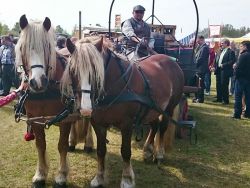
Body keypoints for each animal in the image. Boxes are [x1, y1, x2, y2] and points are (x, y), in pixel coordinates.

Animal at [14, 15, 74, 187]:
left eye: (47, 46)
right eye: (23, 47)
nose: (38, 82)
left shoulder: (66, 119)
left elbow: (62, 146)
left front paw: (61, 175)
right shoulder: (35, 119)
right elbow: (40, 145)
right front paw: (40, 174)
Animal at [61, 36, 184, 187]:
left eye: (96, 71)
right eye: (72, 70)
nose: (85, 109)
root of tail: (171, 61)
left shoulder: (126, 124)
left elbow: (125, 151)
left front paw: (127, 179)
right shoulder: (98, 123)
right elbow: (101, 150)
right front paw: (99, 177)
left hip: (169, 108)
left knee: (163, 127)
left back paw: (159, 154)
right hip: (152, 108)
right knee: (154, 126)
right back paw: (147, 151)